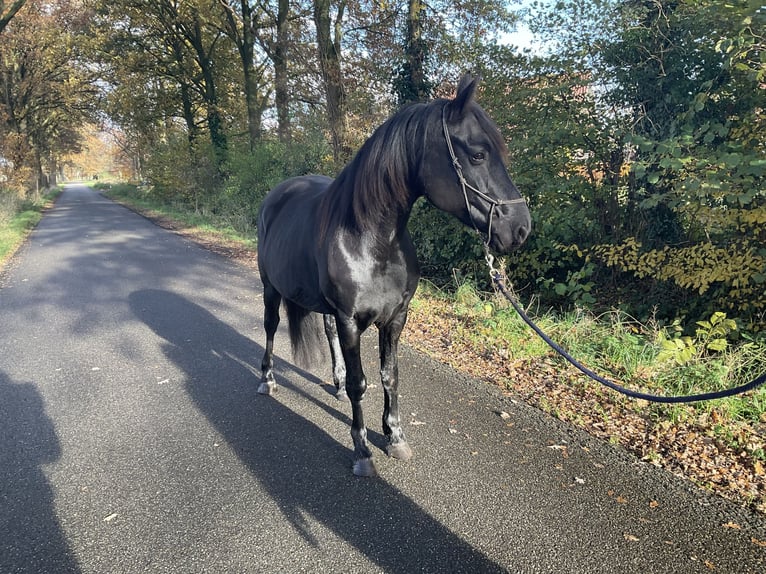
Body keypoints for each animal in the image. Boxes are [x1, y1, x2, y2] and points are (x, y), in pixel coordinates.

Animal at [255, 75, 532, 476]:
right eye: (478, 154)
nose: (521, 228)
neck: (371, 241)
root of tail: (276, 194)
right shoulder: (351, 321)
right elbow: (361, 384)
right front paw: (362, 450)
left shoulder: (396, 318)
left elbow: (390, 375)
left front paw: (395, 438)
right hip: (270, 290)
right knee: (271, 328)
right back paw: (267, 379)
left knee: (325, 330)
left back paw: (335, 382)